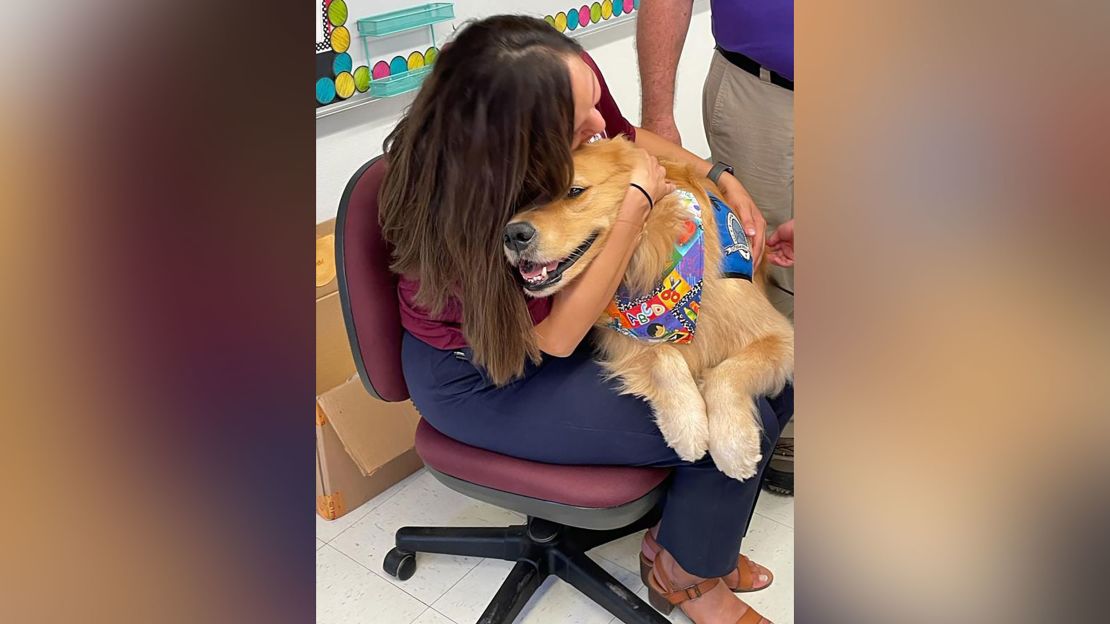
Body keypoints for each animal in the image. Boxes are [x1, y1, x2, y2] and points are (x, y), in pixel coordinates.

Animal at [503, 137, 790, 475]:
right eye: (525, 196)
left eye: (574, 191)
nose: (512, 235)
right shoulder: (621, 332)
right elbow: (662, 354)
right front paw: (687, 423)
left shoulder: (778, 335)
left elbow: (727, 373)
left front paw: (734, 444)